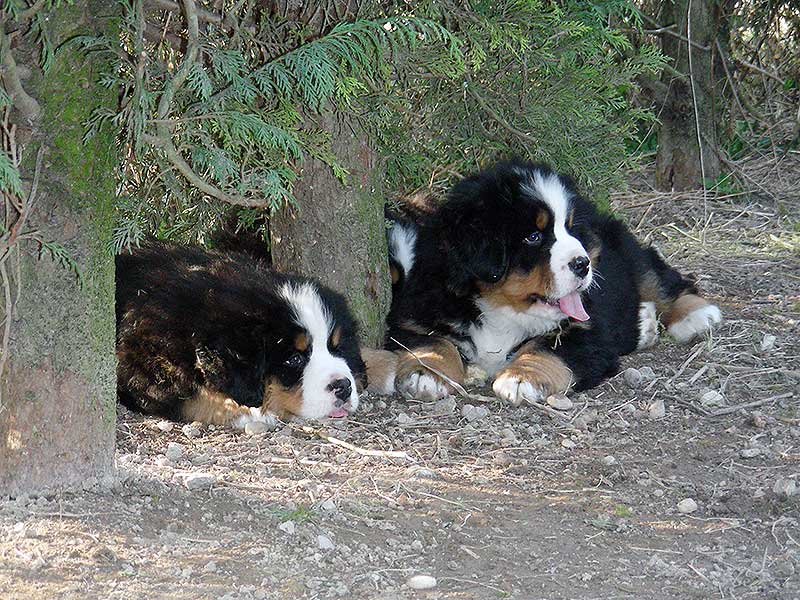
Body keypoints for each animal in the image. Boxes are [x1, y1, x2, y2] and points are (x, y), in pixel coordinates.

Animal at [115, 241, 366, 428]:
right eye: (294, 359)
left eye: (337, 348)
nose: (343, 386)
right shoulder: (144, 367)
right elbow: (192, 397)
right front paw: (246, 412)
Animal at [384, 161, 720, 404]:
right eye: (534, 236)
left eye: (569, 228)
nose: (582, 264)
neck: (502, 311)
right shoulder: (417, 315)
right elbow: (433, 340)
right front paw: (426, 372)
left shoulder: (587, 330)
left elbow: (547, 348)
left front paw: (523, 377)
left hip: (622, 248)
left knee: (658, 277)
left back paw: (695, 315)